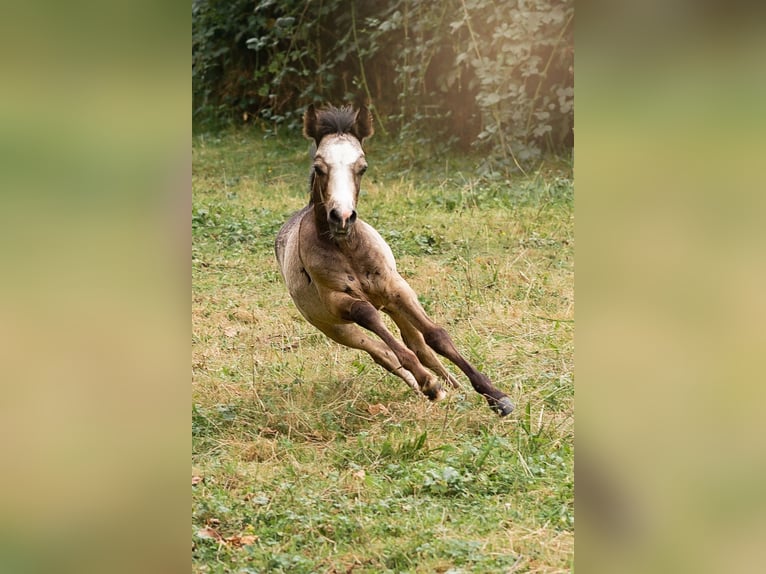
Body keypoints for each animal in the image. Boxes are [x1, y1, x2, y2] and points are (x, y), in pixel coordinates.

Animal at [276, 104, 516, 418]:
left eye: (362, 167)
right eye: (318, 167)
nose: (342, 217)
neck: (348, 250)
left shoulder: (397, 288)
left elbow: (436, 336)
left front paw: (495, 396)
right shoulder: (338, 301)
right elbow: (371, 319)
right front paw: (430, 384)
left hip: (390, 305)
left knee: (417, 344)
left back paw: (453, 386)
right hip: (336, 329)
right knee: (382, 353)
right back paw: (428, 386)